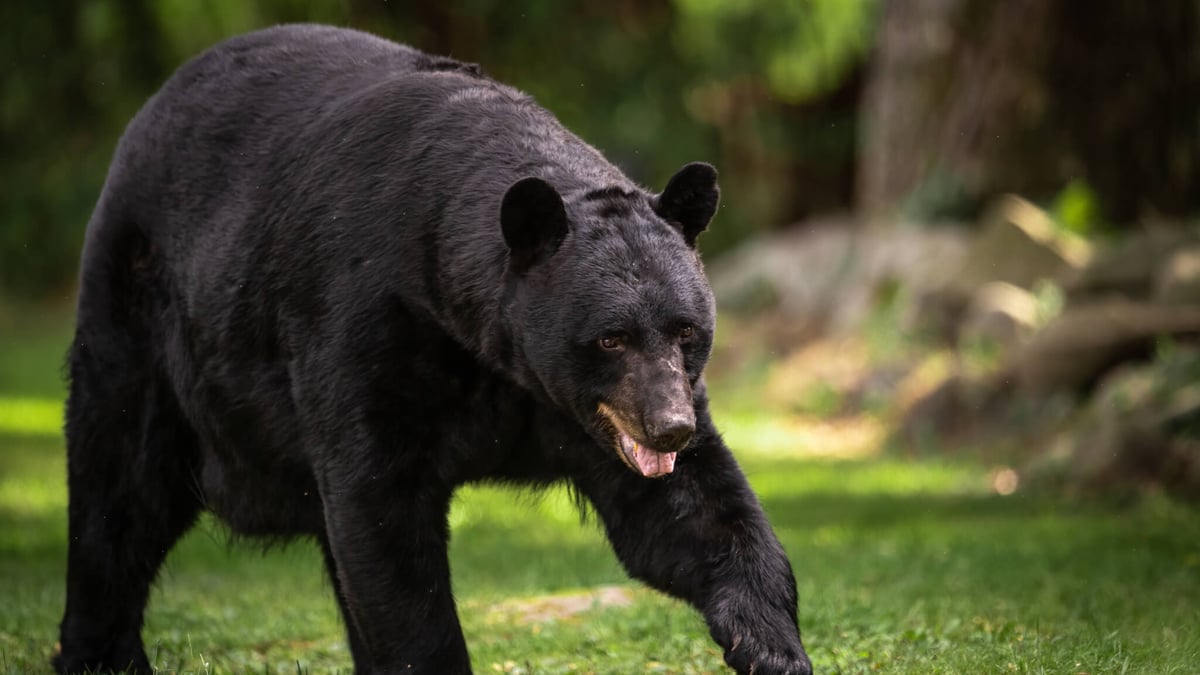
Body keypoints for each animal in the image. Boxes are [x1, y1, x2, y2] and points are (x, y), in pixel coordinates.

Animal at [51, 23, 811, 667]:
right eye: (610, 337)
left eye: (687, 329)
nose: (670, 426)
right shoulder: (368, 333)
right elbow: (384, 527)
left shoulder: (572, 409)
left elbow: (690, 510)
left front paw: (769, 643)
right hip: (142, 321)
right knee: (118, 488)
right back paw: (102, 652)